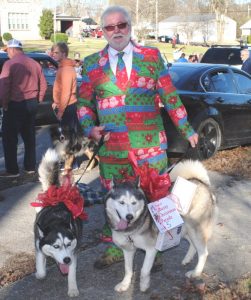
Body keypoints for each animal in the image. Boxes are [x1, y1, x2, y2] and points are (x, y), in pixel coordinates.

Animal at [34, 149, 82, 296]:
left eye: (68, 244)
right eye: (56, 246)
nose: (66, 260)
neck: (56, 222)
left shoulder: (73, 252)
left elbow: (71, 272)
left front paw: (72, 288)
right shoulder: (38, 244)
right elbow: (41, 269)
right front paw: (40, 271)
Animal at [105, 161, 217, 292]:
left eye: (133, 203)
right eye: (121, 202)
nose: (129, 216)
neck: (131, 230)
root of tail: (201, 182)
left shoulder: (151, 249)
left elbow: (144, 270)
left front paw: (144, 285)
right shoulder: (128, 249)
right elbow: (127, 269)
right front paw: (124, 284)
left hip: (196, 229)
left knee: (204, 253)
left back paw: (196, 272)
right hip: (184, 229)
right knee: (193, 245)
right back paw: (187, 259)